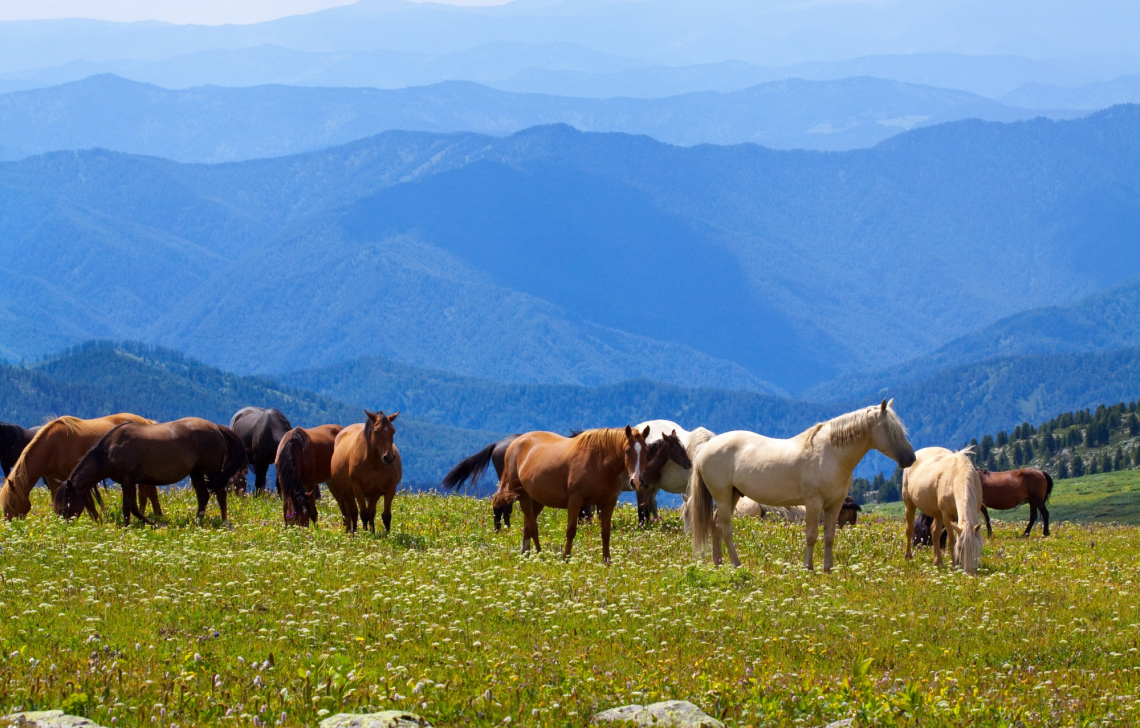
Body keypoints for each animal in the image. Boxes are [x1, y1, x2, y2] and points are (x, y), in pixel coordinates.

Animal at [1, 412, 152, 521]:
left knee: (145, 494)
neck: (53, 447)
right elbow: (55, 500)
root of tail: (146, 421)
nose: (9, 523)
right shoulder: (54, 479)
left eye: (12, 503)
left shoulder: (79, 479)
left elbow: (89, 503)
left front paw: (98, 522)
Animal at [52, 419, 246, 526]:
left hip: (212, 470)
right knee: (203, 496)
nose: (63, 526)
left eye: (66, 503)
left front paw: (139, 524)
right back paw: (197, 521)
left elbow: (129, 506)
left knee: (220, 494)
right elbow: (132, 506)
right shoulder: (128, 482)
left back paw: (224, 522)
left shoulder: (128, 480)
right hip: (196, 472)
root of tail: (217, 428)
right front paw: (142, 523)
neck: (109, 450)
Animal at [490, 428, 652, 565]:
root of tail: (513, 445)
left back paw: (526, 553)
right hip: (522, 495)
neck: (599, 463)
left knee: (527, 525)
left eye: (646, 451)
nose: (637, 481)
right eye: (627, 451)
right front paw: (566, 559)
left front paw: (607, 562)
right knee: (532, 527)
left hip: (537, 500)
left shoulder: (609, 502)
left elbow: (606, 533)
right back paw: (540, 555)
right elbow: (571, 531)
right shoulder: (575, 501)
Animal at [684, 401, 916, 571]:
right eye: (891, 430)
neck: (832, 454)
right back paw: (736, 564)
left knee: (715, 526)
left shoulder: (834, 505)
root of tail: (706, 447)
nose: (911, 458)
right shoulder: (813, 503)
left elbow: (829, 537)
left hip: (732, 495)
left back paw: (718, 563)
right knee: (725, 529)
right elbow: (811, 536)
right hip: (722, 496)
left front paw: (828, 569)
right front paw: (808, 567)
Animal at [902, 444, 984, 574]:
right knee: (909, 529)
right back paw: (908, 556)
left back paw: (938, 562)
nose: (969, 572)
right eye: (960, 548)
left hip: (937, 513)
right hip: (909, 503)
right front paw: (954, 566)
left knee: (935, 532)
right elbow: (952, 542)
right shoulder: (946, 516)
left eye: (975, 547)